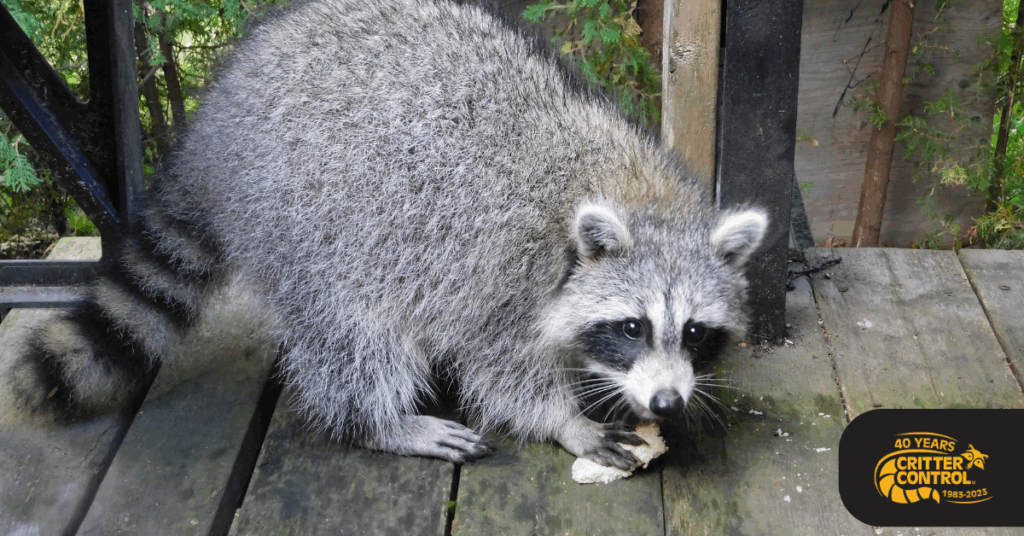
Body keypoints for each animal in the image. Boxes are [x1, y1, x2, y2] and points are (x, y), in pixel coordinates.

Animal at [8, 0, 767, 470]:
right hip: (305, 219)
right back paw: (378, 420)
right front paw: (564, 419)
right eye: (634, 326)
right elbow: (499, 365)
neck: (639, 194)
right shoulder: (502, 273)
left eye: (695, 331)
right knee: (352, 335)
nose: (667, 400)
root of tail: (214, 124)